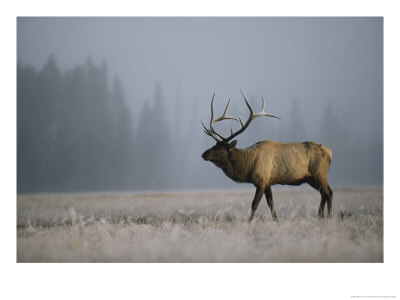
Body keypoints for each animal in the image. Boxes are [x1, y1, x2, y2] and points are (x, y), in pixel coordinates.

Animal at [202, 90, 332, 221]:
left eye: (220, 148)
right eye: (214, 144)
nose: (204, 154)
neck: (248, 166)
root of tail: (330, 152)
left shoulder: (262, 180)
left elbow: (255, 203)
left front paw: (249, 221)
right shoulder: (268, 182)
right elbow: (271, 204)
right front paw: (276, 221)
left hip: (319, 174)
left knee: (328, 192)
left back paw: (329, 216)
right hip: (311, 178)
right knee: (323, 194)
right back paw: (320, 216)